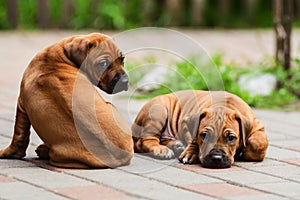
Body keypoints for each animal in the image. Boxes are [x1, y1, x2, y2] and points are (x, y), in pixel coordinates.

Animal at [0, 33, 134, 169]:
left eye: (122, 59)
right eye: (103, 64)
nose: (124, 81)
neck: (56, 57)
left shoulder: (21, 103)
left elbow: (19, 134)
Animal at [132, 90, 268, 168]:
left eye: (231, 138)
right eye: (204, 135)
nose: (216, 159)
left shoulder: (257, 127)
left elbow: (258, 143)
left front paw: (243, 152)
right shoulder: (186, 123)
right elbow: (193, 140)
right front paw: (190, 153)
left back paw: (177, 145)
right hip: (158, 110)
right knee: (143, 141)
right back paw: (162, 150)